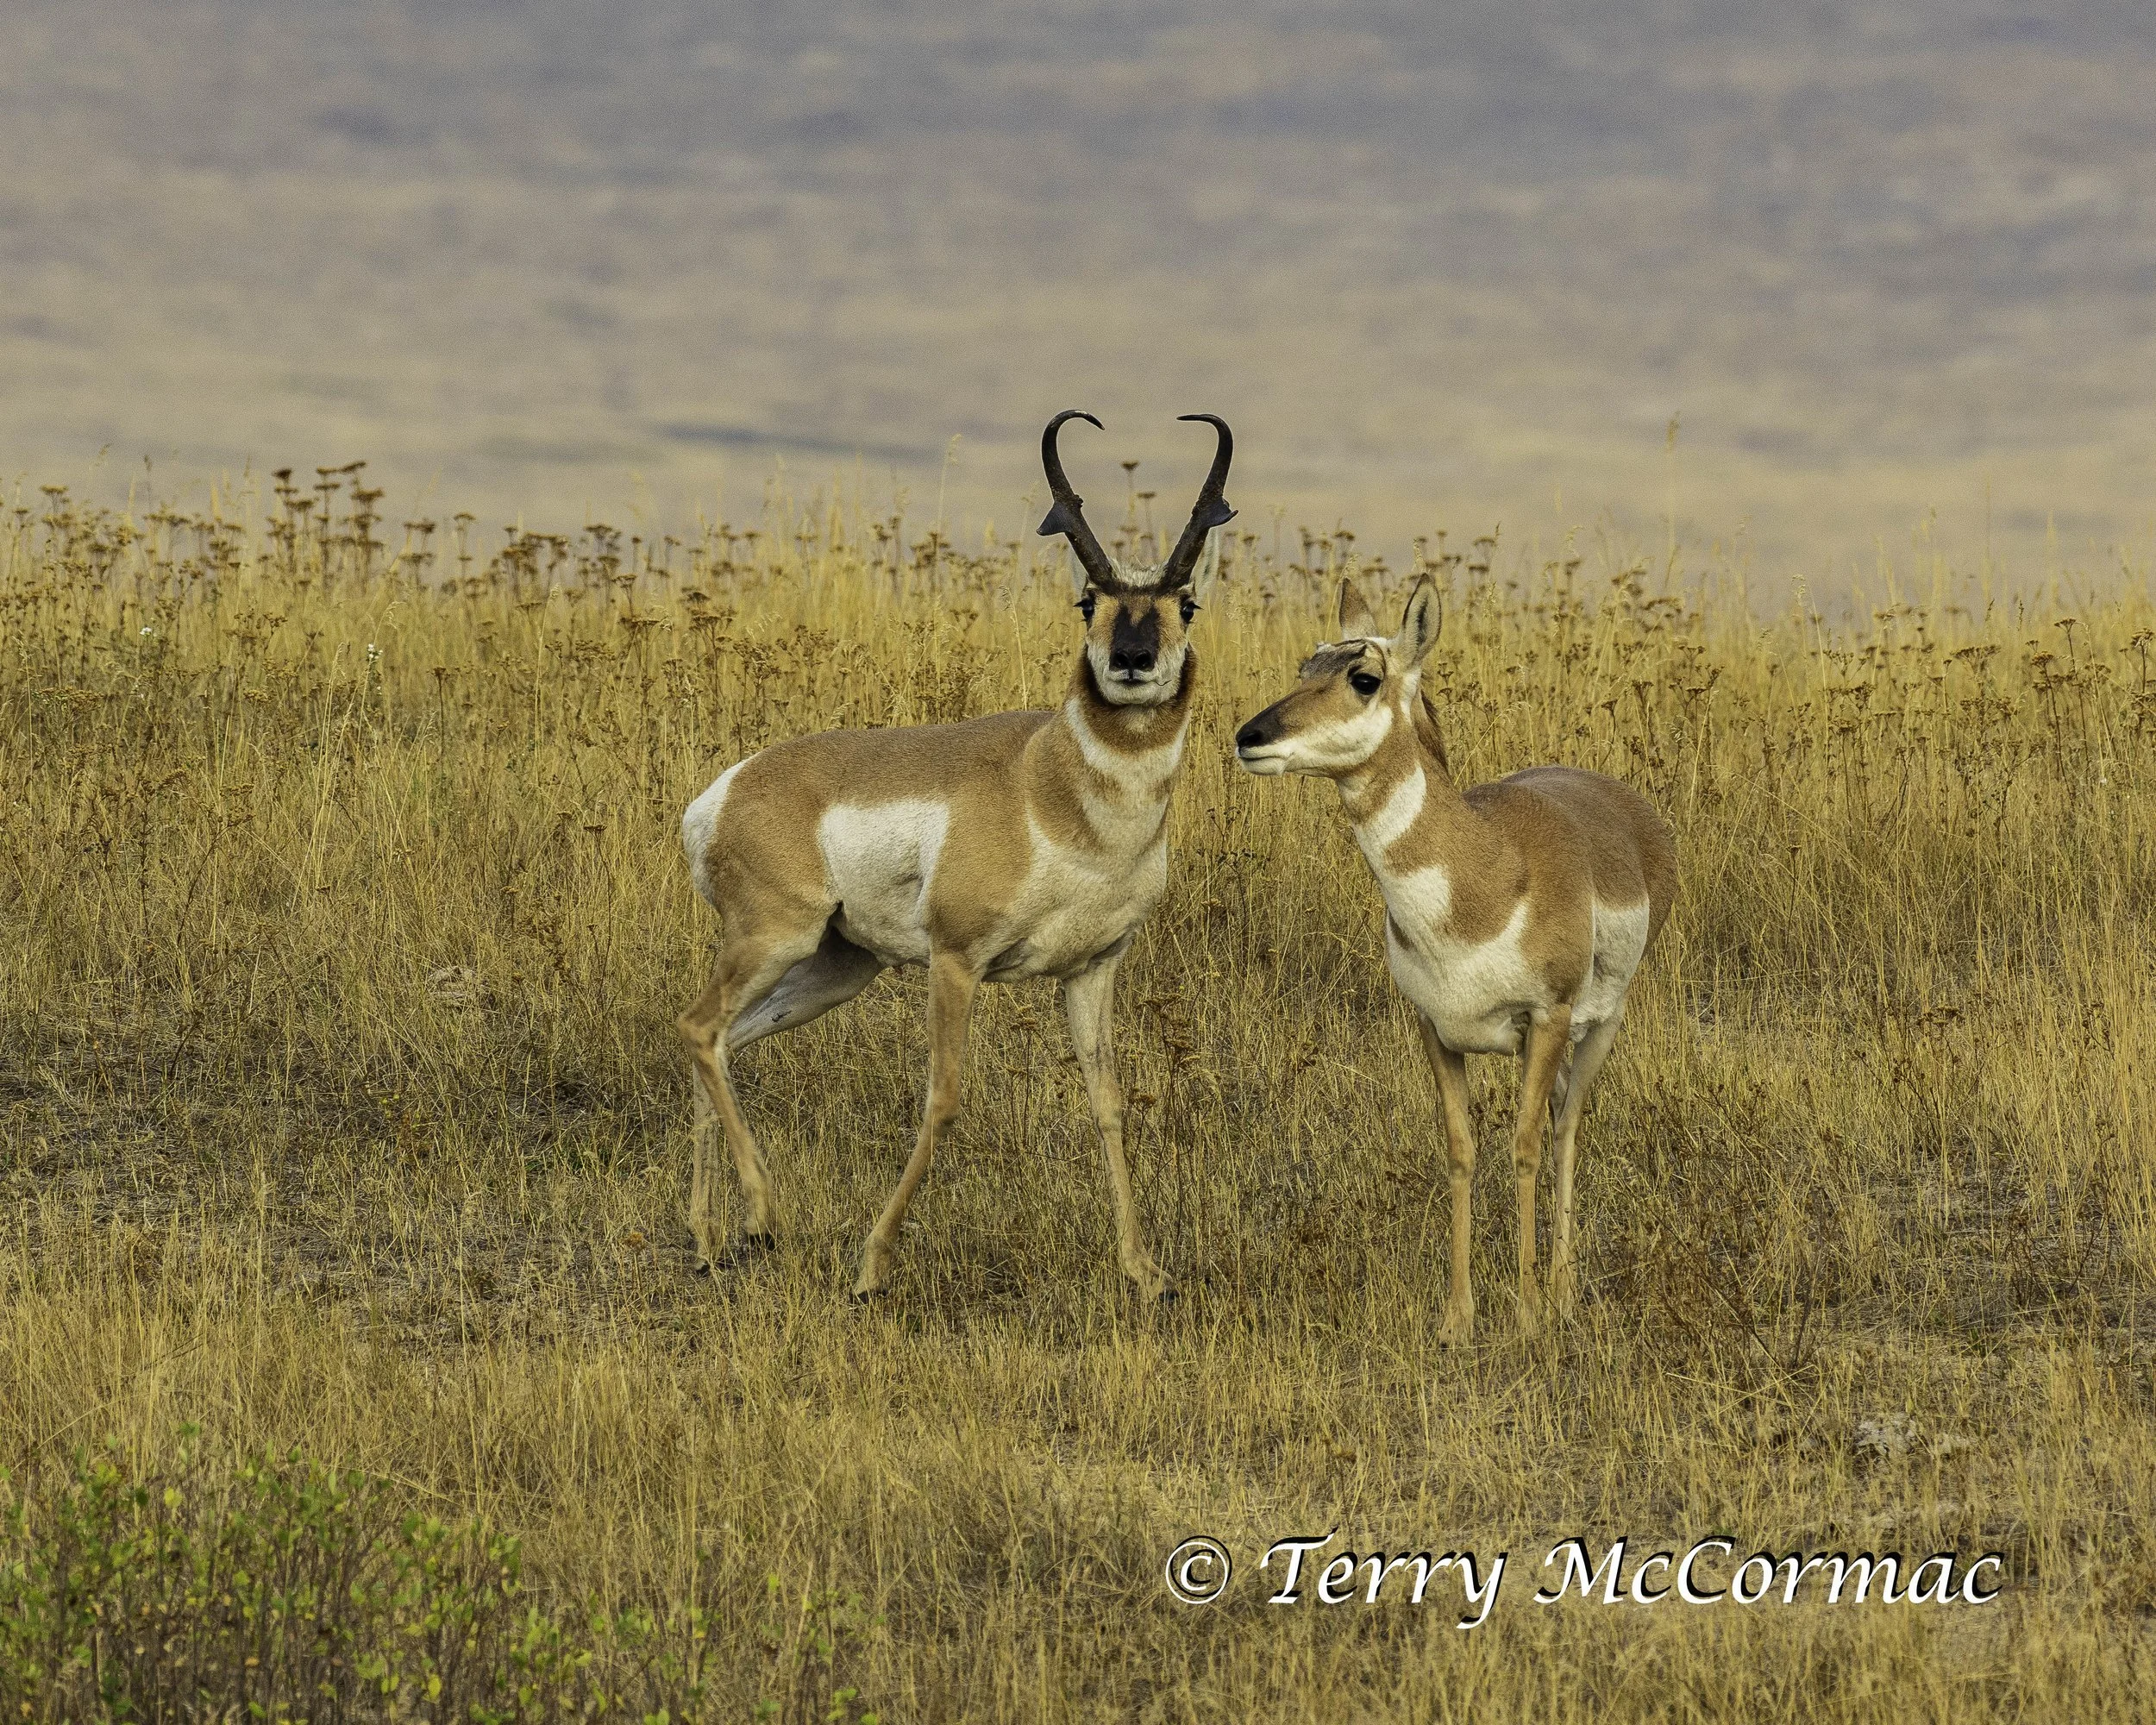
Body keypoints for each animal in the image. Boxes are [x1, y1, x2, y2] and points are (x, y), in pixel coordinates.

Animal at [678, 410, 1235, 1301]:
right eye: (1088, 599)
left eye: (1186, 601)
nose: (1131, 661)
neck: (1053, 790)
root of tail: (724, 792)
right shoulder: (956, 959)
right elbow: (942, 1098)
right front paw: (872, 1266)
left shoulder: (1093, 969)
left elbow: (1109, 1102)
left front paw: (1147, 1272)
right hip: (775, 940)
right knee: (698, 1028)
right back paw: (763, 1218)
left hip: (836, 969)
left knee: (723, 1041)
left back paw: (709, 1238)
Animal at [1233, 578, 1675, 1341]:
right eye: (1306, 664)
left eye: (1363, 676)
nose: (1250, 737)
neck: (1483, 874)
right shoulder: (1435, 1031)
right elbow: (1462, 1152)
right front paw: (1457, 1319)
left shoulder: (1545, 1020)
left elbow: (1525, 1148)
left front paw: (1525, 1314)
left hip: (1597, 1029)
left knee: (1567, 1128)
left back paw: (1562, 1291)